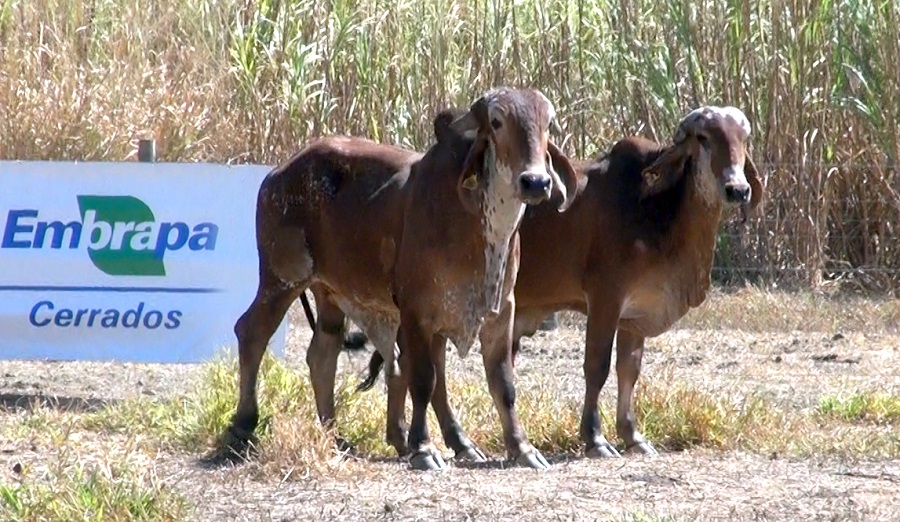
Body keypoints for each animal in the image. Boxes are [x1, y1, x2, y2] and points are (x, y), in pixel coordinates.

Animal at [221, 87, 580, 470]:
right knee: (252, 332)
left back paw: (335, 437)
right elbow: (424, 379)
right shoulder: (417, 311)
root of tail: (278, 173)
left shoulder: (499, 311)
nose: (536, 182)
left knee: (322, 354)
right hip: (281, 278)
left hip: (329, 292)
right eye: (496, 122)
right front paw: (423, 447)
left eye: (548, 125)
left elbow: (503, 384)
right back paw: (242, 427)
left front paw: (521, 448)